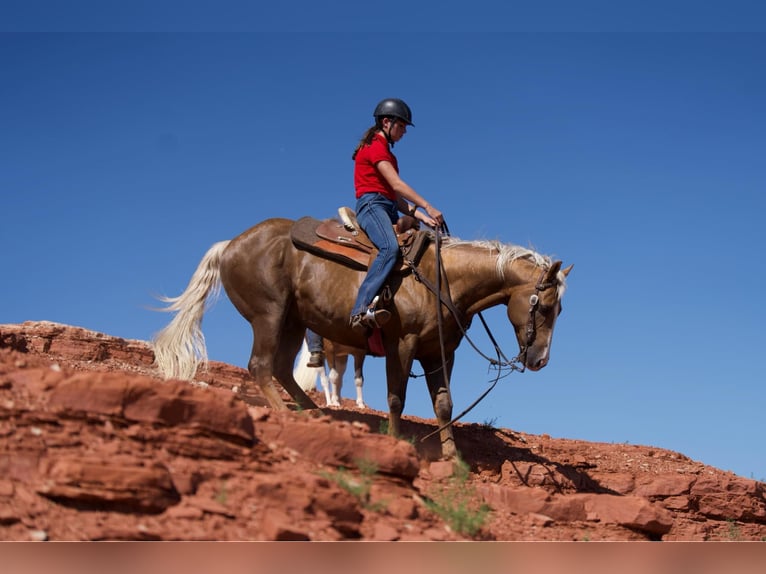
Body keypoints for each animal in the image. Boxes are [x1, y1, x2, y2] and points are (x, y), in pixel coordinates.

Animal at [152, 217, 572, 460]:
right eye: (547, 307)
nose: (539, 360)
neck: (443, 279)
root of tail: (229, 244)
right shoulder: (401, 345)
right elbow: (396, 398)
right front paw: (399, 442)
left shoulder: (439, 352)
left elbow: (444, 405)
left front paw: (454, 461)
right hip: (268, 315)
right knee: (261, 366)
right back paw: (290, 414)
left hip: (293, 322)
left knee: (283, 369)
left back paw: (315, 413)